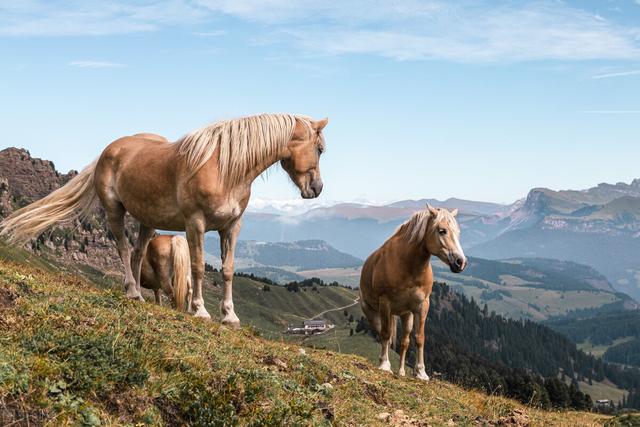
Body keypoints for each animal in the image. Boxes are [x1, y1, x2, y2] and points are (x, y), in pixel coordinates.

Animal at [0, 113, 328, 328]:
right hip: (115, 211)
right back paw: (132, 291)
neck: (225, 168)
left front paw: (229, 316)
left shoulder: (231, 227)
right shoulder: (195, 224)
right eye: (320, 149)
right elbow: (198, 268)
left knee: (137, 252)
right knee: (123, 249)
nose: (317, 188)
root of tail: (110, 149)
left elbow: (227, 270)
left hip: (147, 220)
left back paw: (137, 294)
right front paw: (200, 311)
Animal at [358, 206, 468, 382]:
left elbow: (419, 338)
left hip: (406, 314)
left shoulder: (422, 306)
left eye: (458, 232)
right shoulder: (385, 303)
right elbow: (386, 334)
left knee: (404, 341)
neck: (408, 265)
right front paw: (384, 365)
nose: (460, 262)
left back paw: (401, 371)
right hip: (373, 312)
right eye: (442, 230)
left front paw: (421, 372)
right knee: (382, 333)